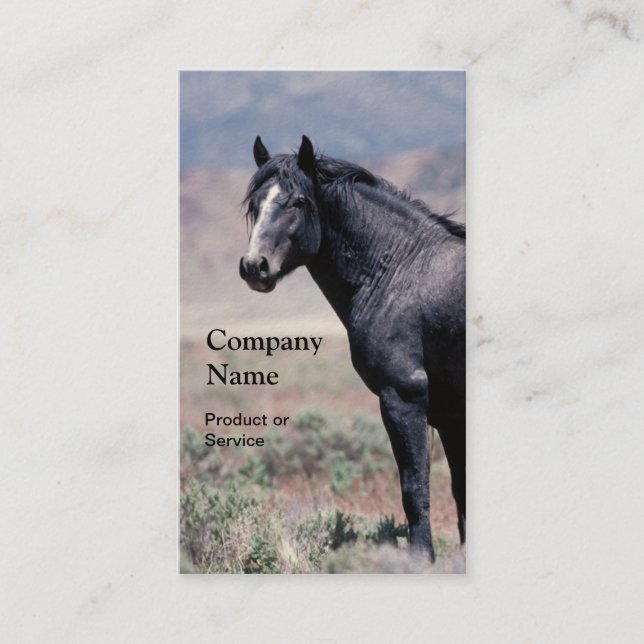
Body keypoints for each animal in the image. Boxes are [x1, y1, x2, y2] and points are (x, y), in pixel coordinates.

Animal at [239, 135, 465, 561]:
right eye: (255, 204)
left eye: (299, 201)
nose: (253, 266)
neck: (401, 271)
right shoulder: (448, 415)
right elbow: (459, 492)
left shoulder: (403, 398)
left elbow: (414, 486)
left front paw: (420, 560)